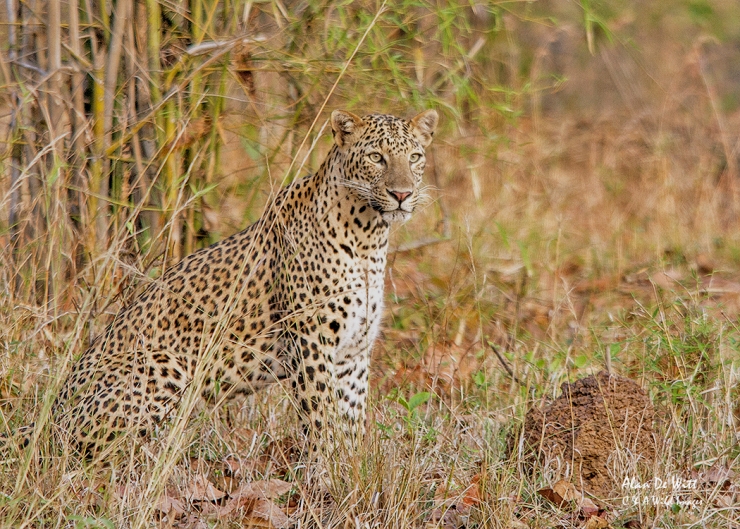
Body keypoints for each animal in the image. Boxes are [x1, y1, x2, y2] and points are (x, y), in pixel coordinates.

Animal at [15, 109, 438, 456]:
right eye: (376, 157)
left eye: (415, 158)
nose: (402, 194)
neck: (369, 237)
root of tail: (49, 416)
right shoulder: (311, 344)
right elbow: (322, 420)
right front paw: (327, 475)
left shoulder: (353, 353)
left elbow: (351, 421)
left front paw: (351, 474)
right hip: (163, 368)